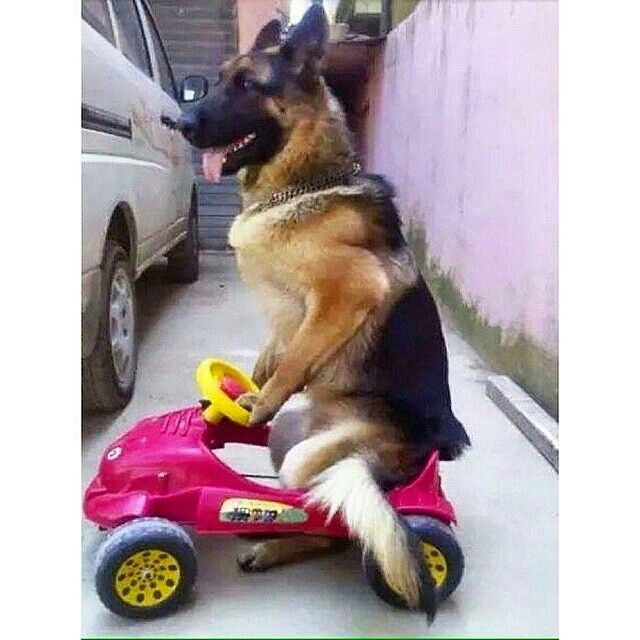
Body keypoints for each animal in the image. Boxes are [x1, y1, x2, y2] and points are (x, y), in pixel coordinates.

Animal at [178, 3, 468, 616]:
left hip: (320, 458)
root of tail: (429, 455)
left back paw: (277, 544)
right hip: (292, 437)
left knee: (337, 521)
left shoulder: (348, 290)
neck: (305, 182)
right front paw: (236, 396)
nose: (181, 123)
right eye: (219, 79)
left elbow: (295, 359)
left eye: (248, 85)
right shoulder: (283, 320)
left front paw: (254, 406)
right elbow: (273, 355)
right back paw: (268, 536)